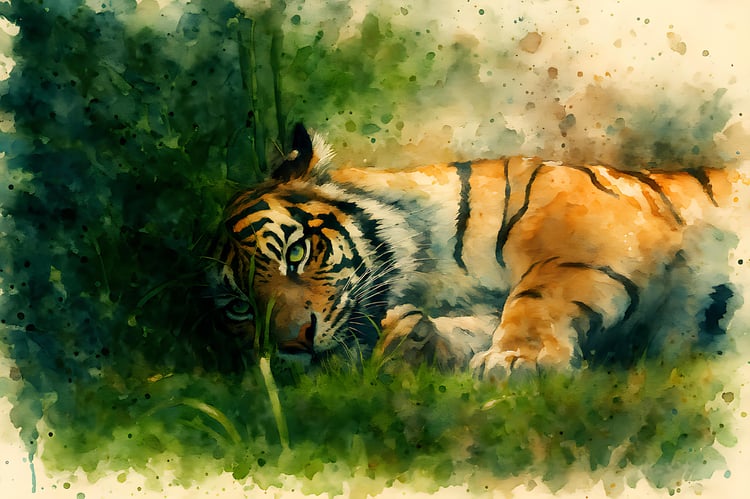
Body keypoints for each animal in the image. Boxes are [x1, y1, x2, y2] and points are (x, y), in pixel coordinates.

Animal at [209, 124, 738, 378]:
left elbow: (536, 299)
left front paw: (520, 363)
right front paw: (409, 342)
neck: (433, 275)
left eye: (295, 253)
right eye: (240, 308)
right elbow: (472, 327)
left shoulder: (590, 232)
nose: (294, 345)